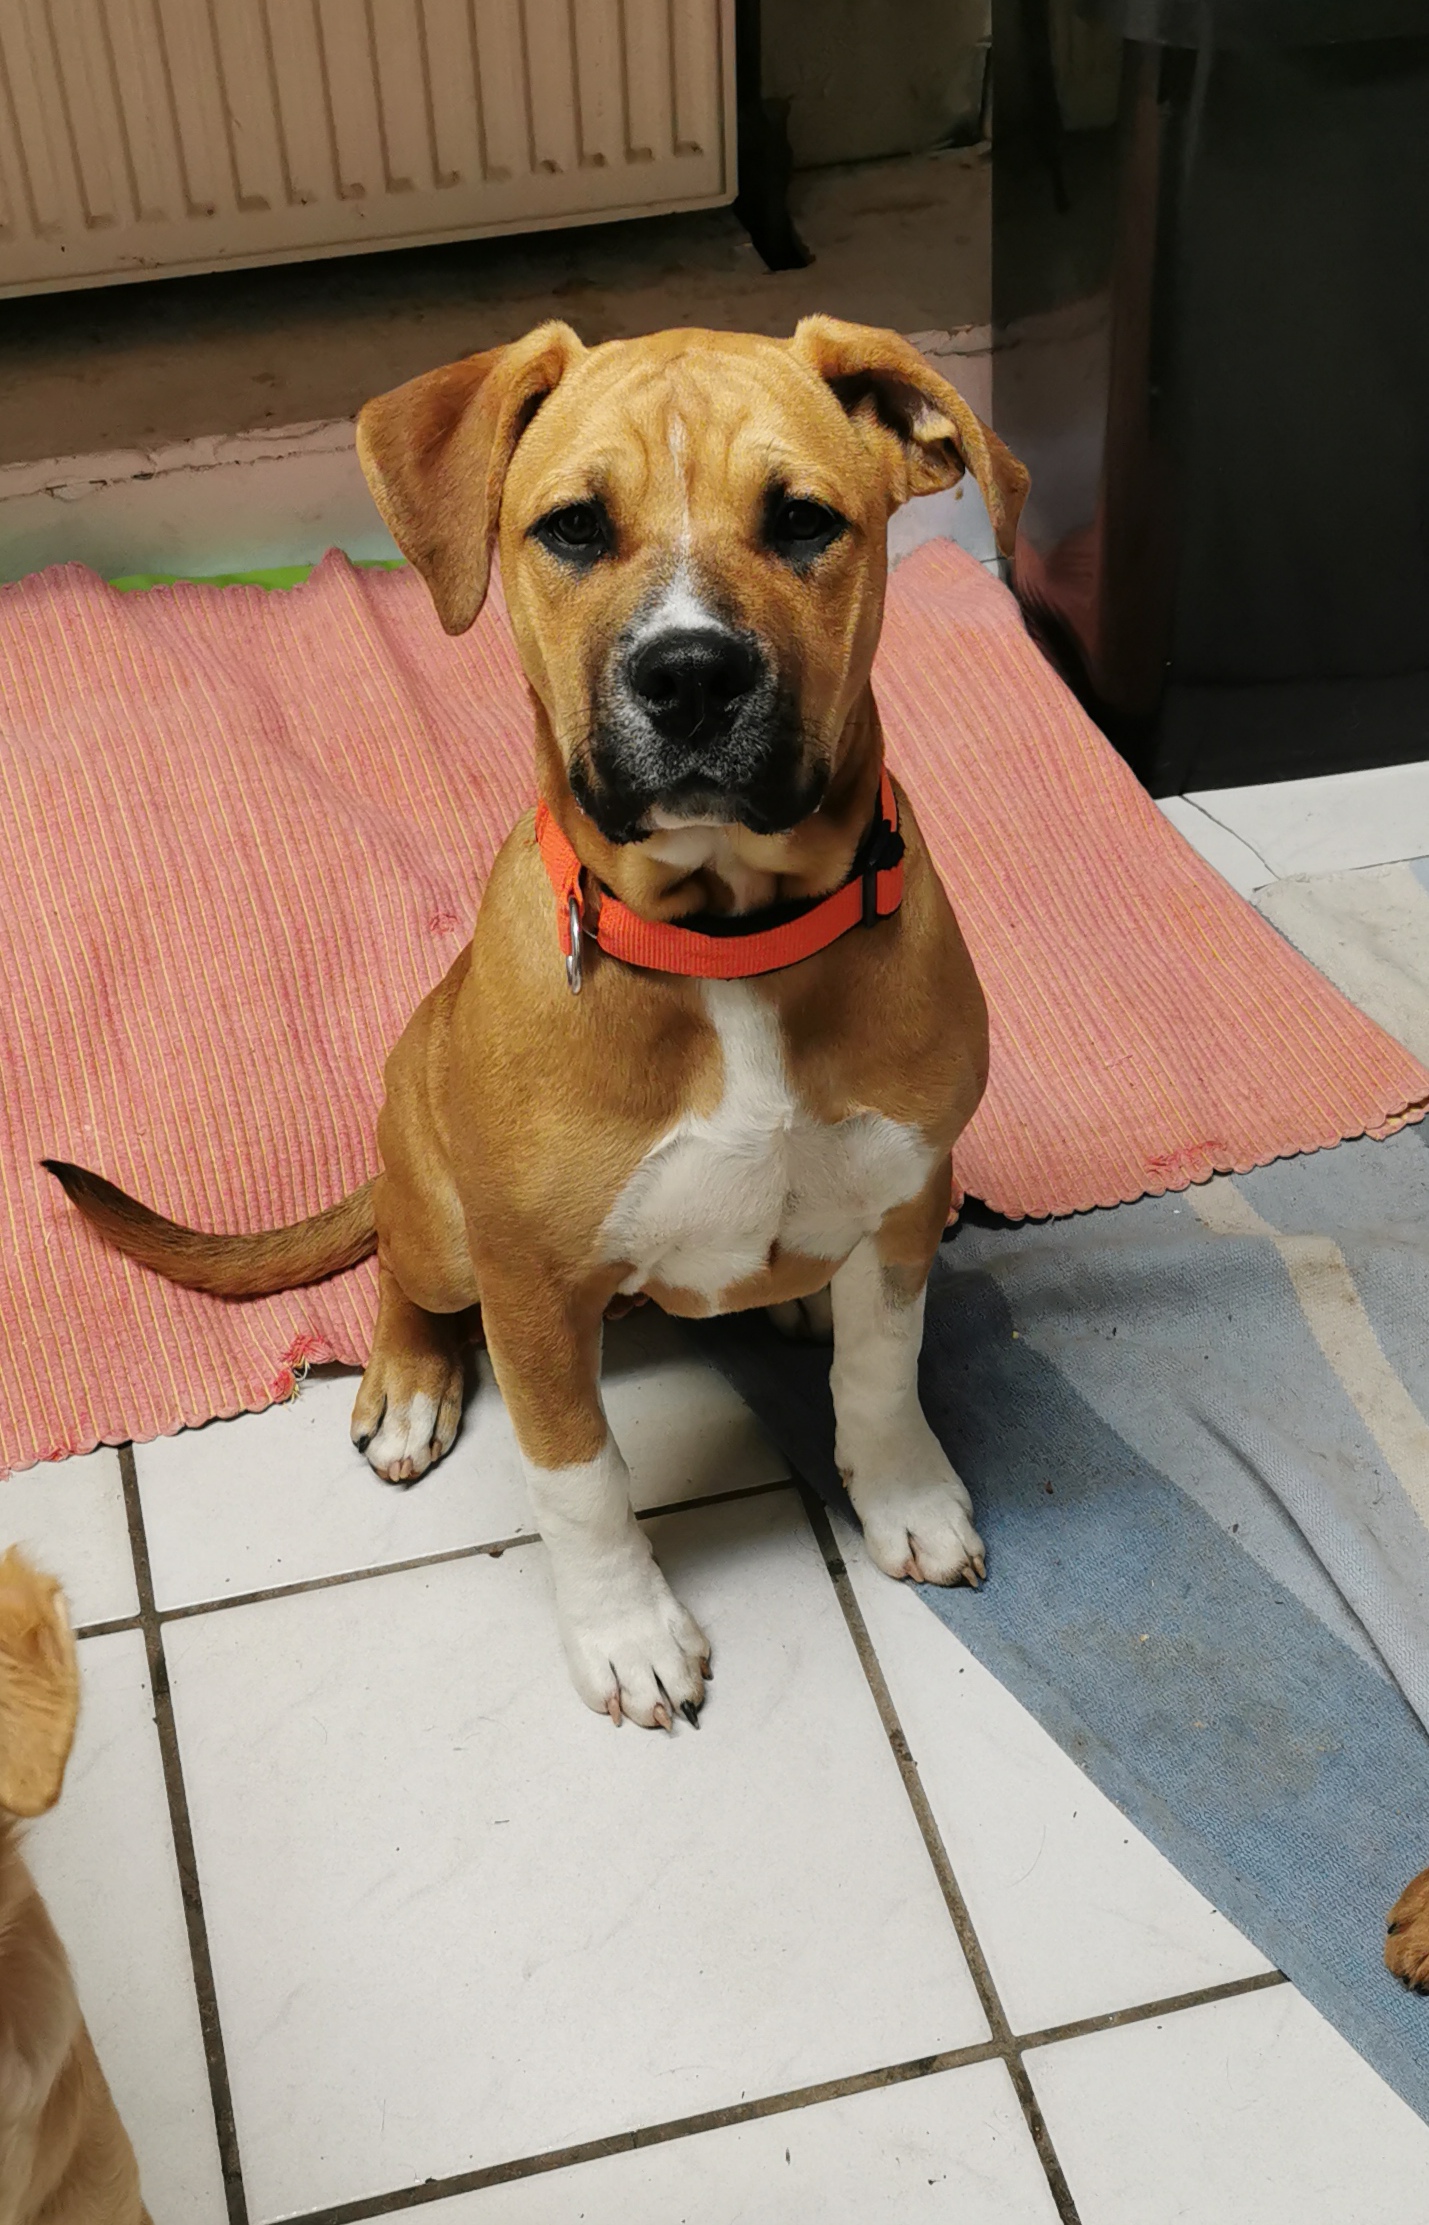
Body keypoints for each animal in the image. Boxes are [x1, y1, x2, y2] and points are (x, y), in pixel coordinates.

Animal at [46, 318, 1028, 1729]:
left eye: (801, 521)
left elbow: (881, 1374)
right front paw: (626, 1631)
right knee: (399, 1271)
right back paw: (407, 1383)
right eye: (572, 527)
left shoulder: (907, 1198)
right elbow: (578, 1475)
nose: (690, 673)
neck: (726, 943)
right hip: (441, 1217)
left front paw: (903, 1496)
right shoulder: (531, 1282)